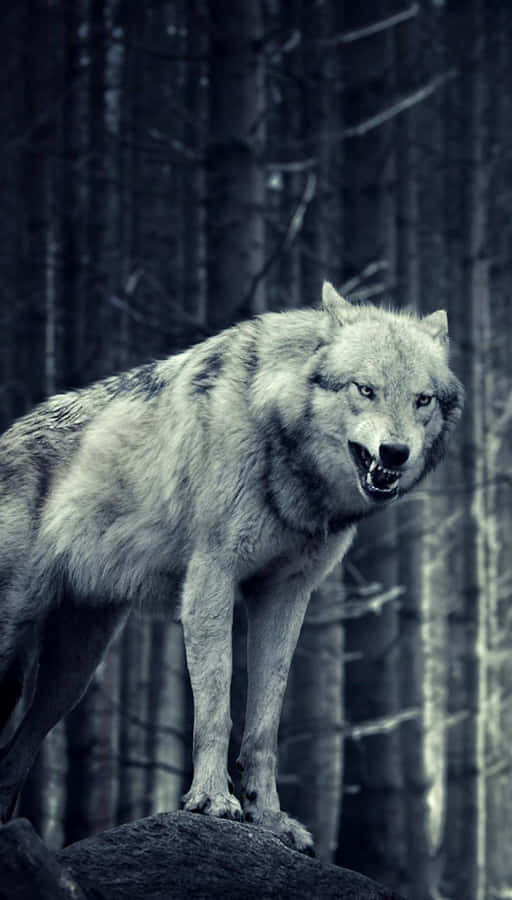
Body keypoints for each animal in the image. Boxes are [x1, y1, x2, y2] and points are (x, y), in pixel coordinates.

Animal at [0, 283, 463, 851]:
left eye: (422, 399)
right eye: (366, 389)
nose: (395, 453)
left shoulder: (285, 596)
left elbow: (263, 725)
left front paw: (269, 818)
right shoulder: (211, 580)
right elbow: (216, 710)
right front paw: (212, 801)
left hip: (72, 676)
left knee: (12, 760)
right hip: (18, 638)